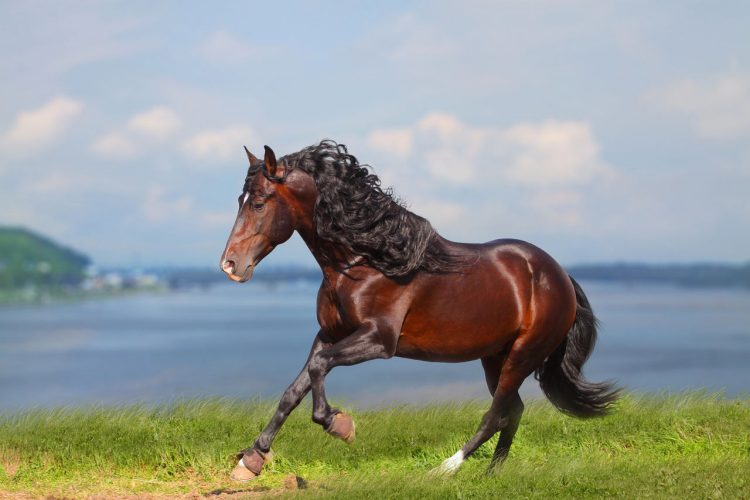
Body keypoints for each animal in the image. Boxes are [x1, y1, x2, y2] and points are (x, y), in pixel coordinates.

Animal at [220, 140, 619, 481]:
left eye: (258, 202)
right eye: (240, 199)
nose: (230, 265)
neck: (365, 262)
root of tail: (559, 275)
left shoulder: (379, 340)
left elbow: (318, 370)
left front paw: (339, 424)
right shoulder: (328, 334)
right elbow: (294, 389)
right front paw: (251, 460)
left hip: (522, 355)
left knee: (495, 415)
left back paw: (444, 470)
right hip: (496, 357)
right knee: (512, 411)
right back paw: (492, 474)